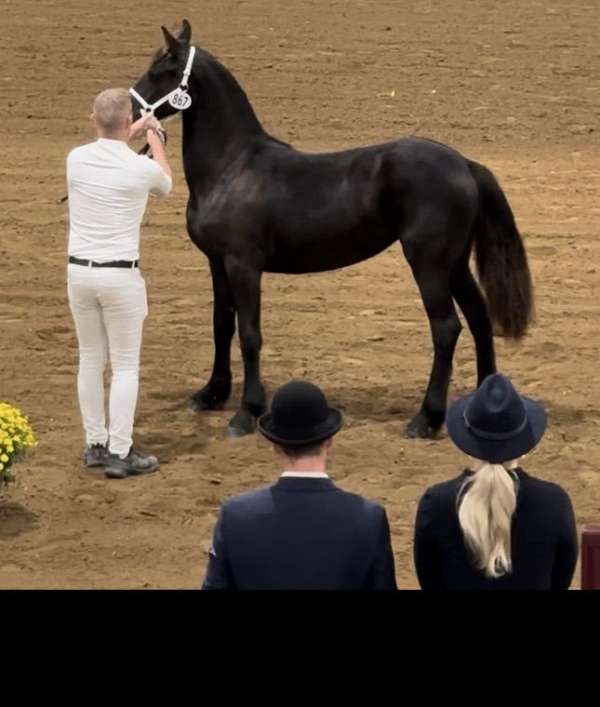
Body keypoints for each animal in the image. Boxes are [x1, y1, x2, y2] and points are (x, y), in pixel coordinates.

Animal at [131, 20, 536, 436]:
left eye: (161, 69)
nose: (131, 109)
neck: (232, 166)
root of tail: (464, 163)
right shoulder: (218, 262)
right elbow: (222, 324)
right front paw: (211, 394)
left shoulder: (244, 265)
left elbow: (249, 333)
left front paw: (246, 413)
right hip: (454, 264)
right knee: (479, 318)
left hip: (429, 264)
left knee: (446, 328)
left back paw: (426, 419)